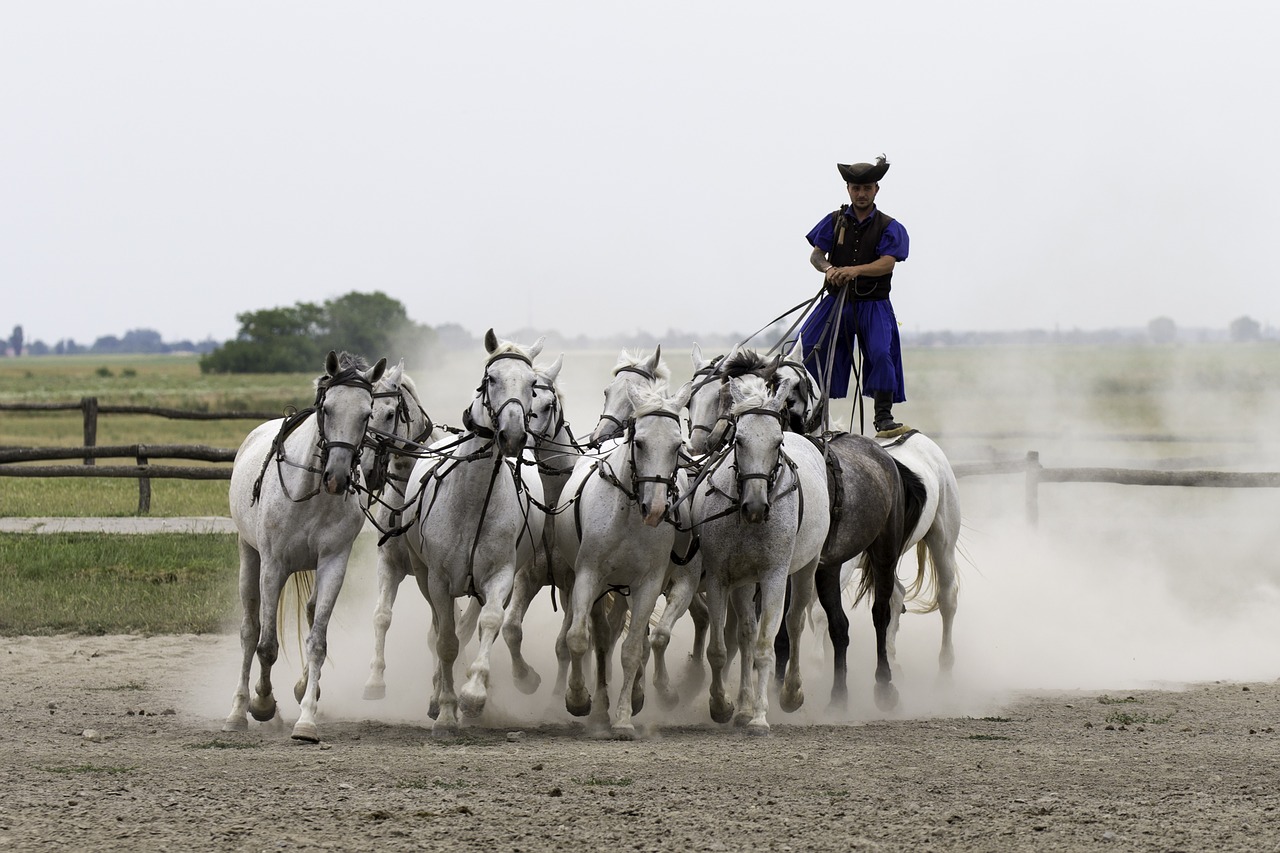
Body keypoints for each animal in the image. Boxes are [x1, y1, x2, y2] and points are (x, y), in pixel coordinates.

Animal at [224, 348, 384, 742]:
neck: (309, 492)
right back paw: (237, 712)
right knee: (250, 632)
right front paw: (262, 704)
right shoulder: (273, 565)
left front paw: (307, 719)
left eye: (367, 414)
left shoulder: (333, 563)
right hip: (249, 556)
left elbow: (318, 642)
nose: (337, 477)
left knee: (310, 615)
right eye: (327, 408)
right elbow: (266, 645)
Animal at [396, 327, 542, 732]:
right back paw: (436, 697)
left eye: (533, 384)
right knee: (439, 630)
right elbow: (445, 641)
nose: (513, 435)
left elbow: (489, 622)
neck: (474, 499)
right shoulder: (439, 580)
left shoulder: (499, 575)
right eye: (490, 379)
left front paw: (474, 695)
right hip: (422, 575)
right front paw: (446, 710)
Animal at [555, 376, 696, 732]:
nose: (656, 508)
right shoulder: (588, 575)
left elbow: (633, 649)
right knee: (600, 637)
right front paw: (578, 699)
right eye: (641, 443)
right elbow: (579, 638)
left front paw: (623, 717)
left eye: (677, 446)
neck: (629, 516)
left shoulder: (647, 584)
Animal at [691, 371, 829, 732]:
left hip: (806, 567)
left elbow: (766, 646)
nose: (754, 506)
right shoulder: (722, 577)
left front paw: (759, 716)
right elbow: (723, 648)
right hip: (744, 581)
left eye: (777, 441)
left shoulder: (774, 576)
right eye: (738, 440)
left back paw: (791, 693)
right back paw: (742, 706)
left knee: (794, 622)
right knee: (746, 634)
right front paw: (723, 705)